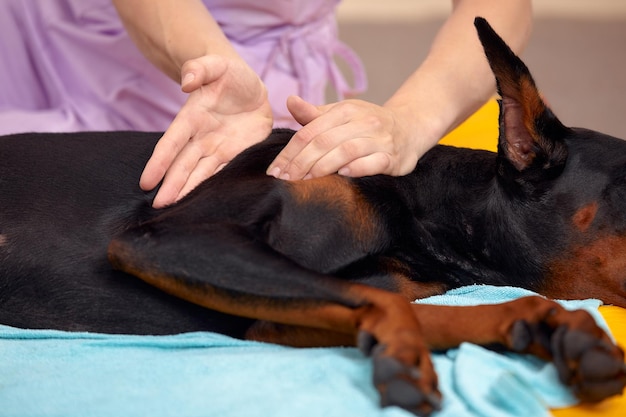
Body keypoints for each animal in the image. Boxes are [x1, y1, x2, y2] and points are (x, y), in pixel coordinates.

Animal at [1, 17, 624, 414]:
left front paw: (560, 330)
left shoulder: (275, 318)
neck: (416, 212)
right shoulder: (168, 238)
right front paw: (402, 358)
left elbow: (410, 307)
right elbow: (389, 305)